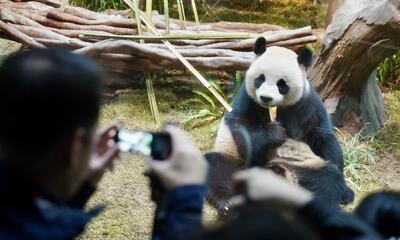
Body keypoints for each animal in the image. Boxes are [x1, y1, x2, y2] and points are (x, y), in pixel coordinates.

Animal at [206, 37, 354, 214]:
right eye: (260, 78)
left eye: (281, 84)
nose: (266, 98)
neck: (274, 109)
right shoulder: (246, 99)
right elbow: (241, 128)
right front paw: (275, 133)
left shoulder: (306, 104)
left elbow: (323, 136)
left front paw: (346, 191)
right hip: (233, 158)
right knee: (219, 168)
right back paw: (228, 203)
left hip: (304, 166)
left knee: (325, 180)